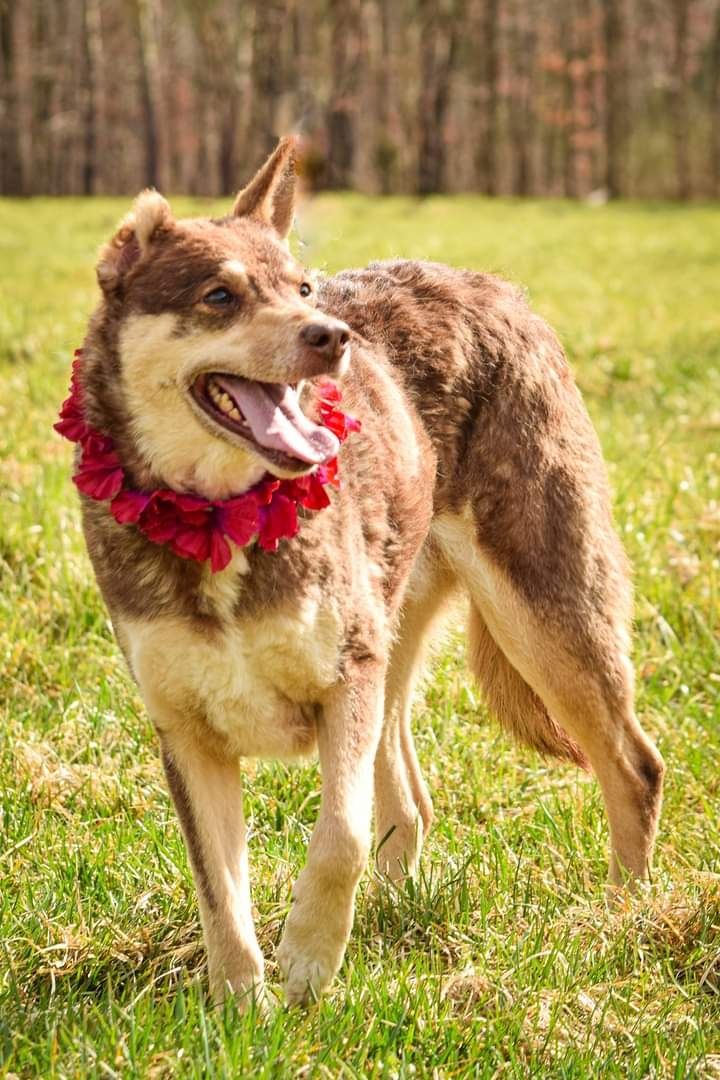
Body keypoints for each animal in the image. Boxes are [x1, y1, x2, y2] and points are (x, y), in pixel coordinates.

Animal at [62, 135, 664, 1002]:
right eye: (219, 296)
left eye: (302, 287)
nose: (331, 336)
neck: (218, 517)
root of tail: (496, 286)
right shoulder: (188, 733)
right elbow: (221, 894)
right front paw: (242, 1005)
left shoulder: (344, 678)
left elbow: (338, 836)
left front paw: (310, 961)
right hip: (404, 631)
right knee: (411, 799)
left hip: (542, 616)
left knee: (634, 768)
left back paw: (622, 916)